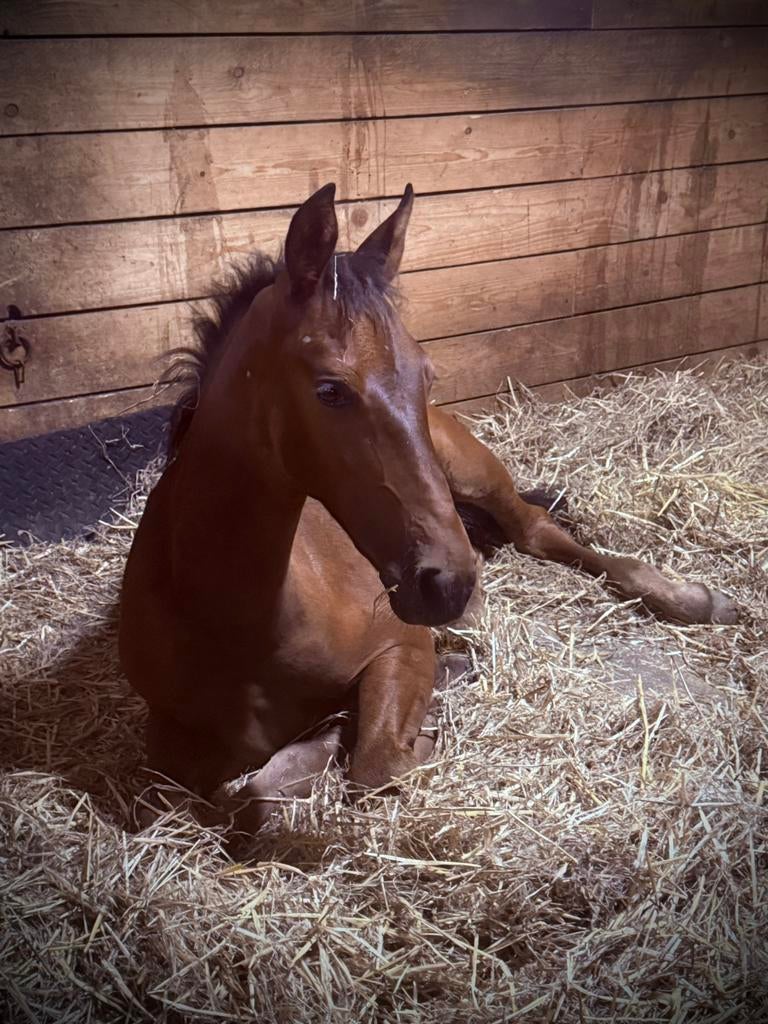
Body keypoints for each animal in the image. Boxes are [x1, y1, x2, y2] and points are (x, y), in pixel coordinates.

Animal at [119, 183, 737, 830]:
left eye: (428, 374)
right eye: (330, 389)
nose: (448, 584)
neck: (241, 619)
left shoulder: (402, 645)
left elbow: (373, 766)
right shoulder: (163, 747)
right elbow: (223, 797)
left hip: (472, 472)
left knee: (538, 529)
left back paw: (692, 600)